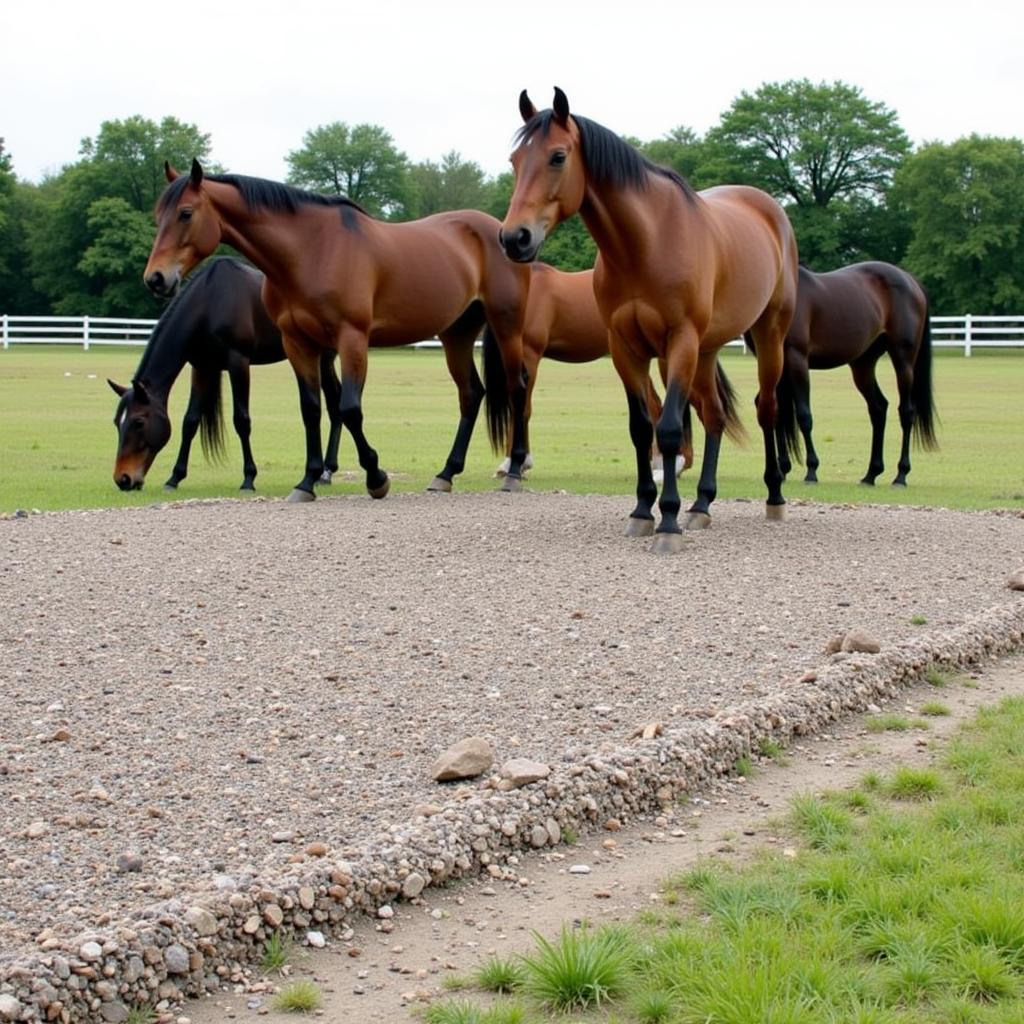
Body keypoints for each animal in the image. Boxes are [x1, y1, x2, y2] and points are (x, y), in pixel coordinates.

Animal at [108, 260, 342, 491]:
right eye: (116, 422)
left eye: (139, 422)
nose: (123, 479)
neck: (209, 303)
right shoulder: (202, 367)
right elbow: (190, 421)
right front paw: (175, 477)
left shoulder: (238, 363)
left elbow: (242, 420)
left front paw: (249, 478)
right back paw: (325, 472)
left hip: (321, 358)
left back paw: (326, 472)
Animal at [146, 158, 536, 503]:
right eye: (158, 215)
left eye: (185, 213)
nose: (156, 278)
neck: (312, 250)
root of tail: (499, 231)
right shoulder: (299, 344)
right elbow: (312, 409)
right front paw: (307, 481)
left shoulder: (352, 340)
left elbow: (349, 409)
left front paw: (376, 477)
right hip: (456, 334)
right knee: (471, 393)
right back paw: (446, 473)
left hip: (506, 325)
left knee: (517, 388)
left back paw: (515, 471)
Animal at [774, 264, 937, 487]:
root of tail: (911, 280)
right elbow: (779, 416)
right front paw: (782, 469)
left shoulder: (797, 358)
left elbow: (803, 415)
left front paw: (811, 470)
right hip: (863, 365)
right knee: (878, 408)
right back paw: (871, 474)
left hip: (903, 361)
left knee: (906, 412)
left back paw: (900, 475)